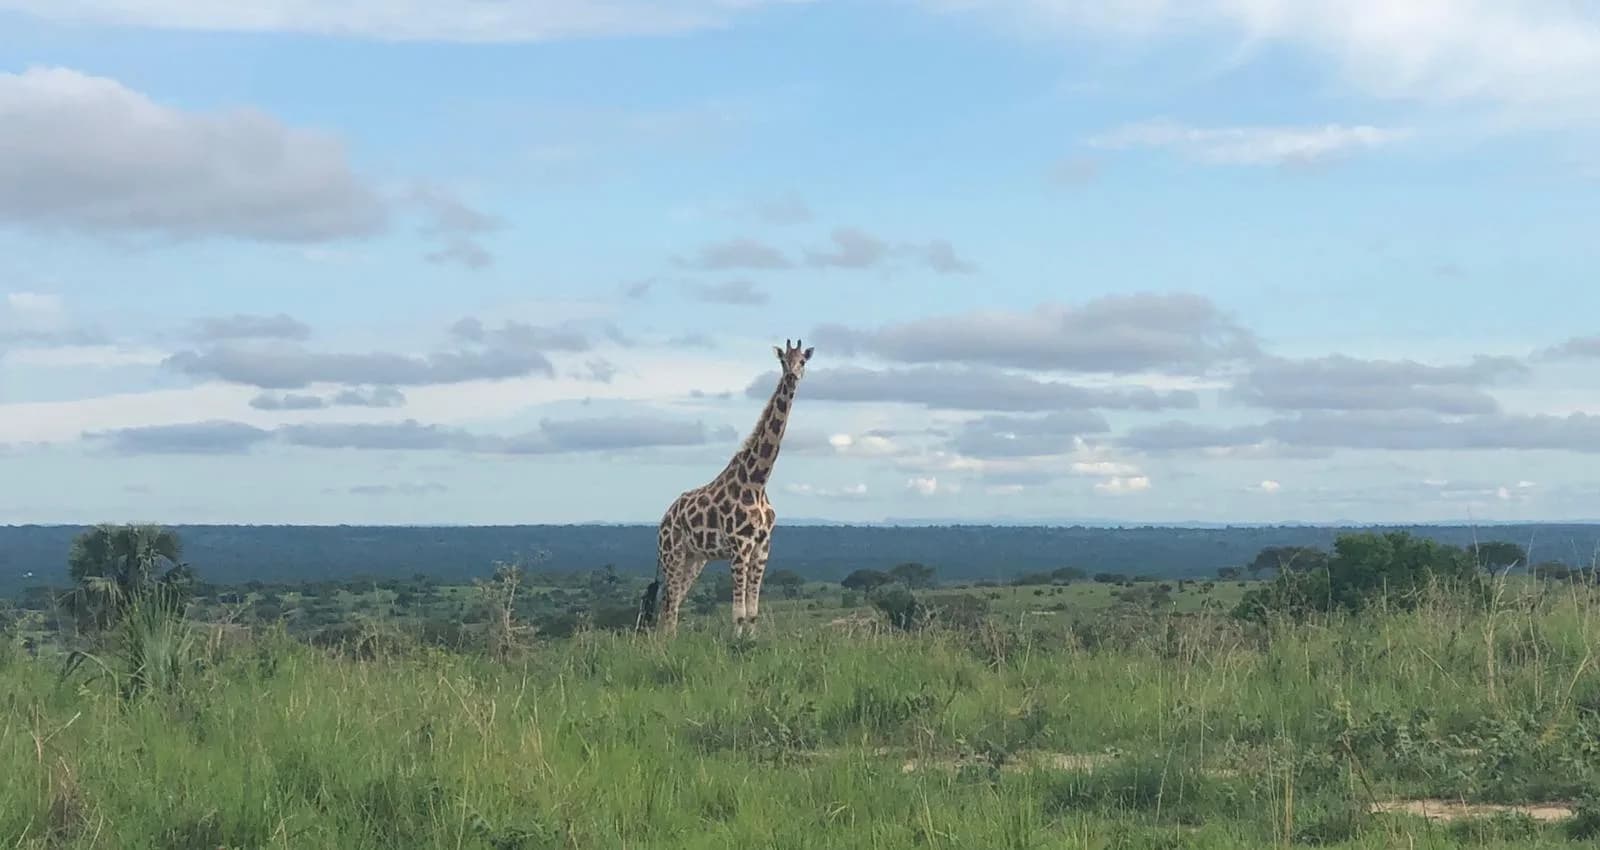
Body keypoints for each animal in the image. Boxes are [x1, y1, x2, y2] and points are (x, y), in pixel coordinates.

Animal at [639, 338, 813, 637]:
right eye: (783, 361)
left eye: (802, 361)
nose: (792, 376)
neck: (757, 480)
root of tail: (664, 519)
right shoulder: (739, 546)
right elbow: (738, 612)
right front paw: (736, 642)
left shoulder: (762, 548)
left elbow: (752, 612)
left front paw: (751, 641)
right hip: (672, 554)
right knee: (669, 605)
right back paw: (666, 643)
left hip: (695, 559)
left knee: (669, 604)